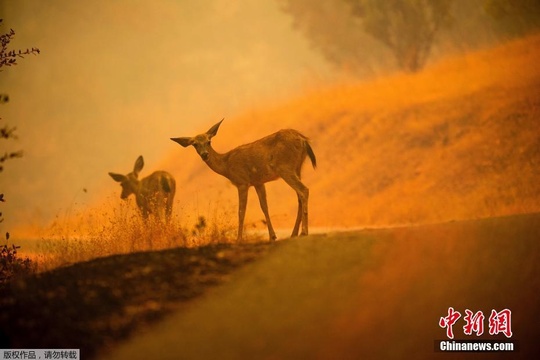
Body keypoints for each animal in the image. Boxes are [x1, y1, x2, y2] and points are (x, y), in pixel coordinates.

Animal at [171, 119, 316, 242]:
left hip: (285, 167)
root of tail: (303, 139)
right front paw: (272, 236)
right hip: (297, 168)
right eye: (195, 144)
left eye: (209, 141)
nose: (205, 154)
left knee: (303, 190)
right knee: (299, 196)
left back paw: (304, 232)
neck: (226, 165)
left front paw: (238, 239)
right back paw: (294, 233)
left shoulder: (242, 182)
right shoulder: (258, 182)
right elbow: (264, 207)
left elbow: (241, 211)